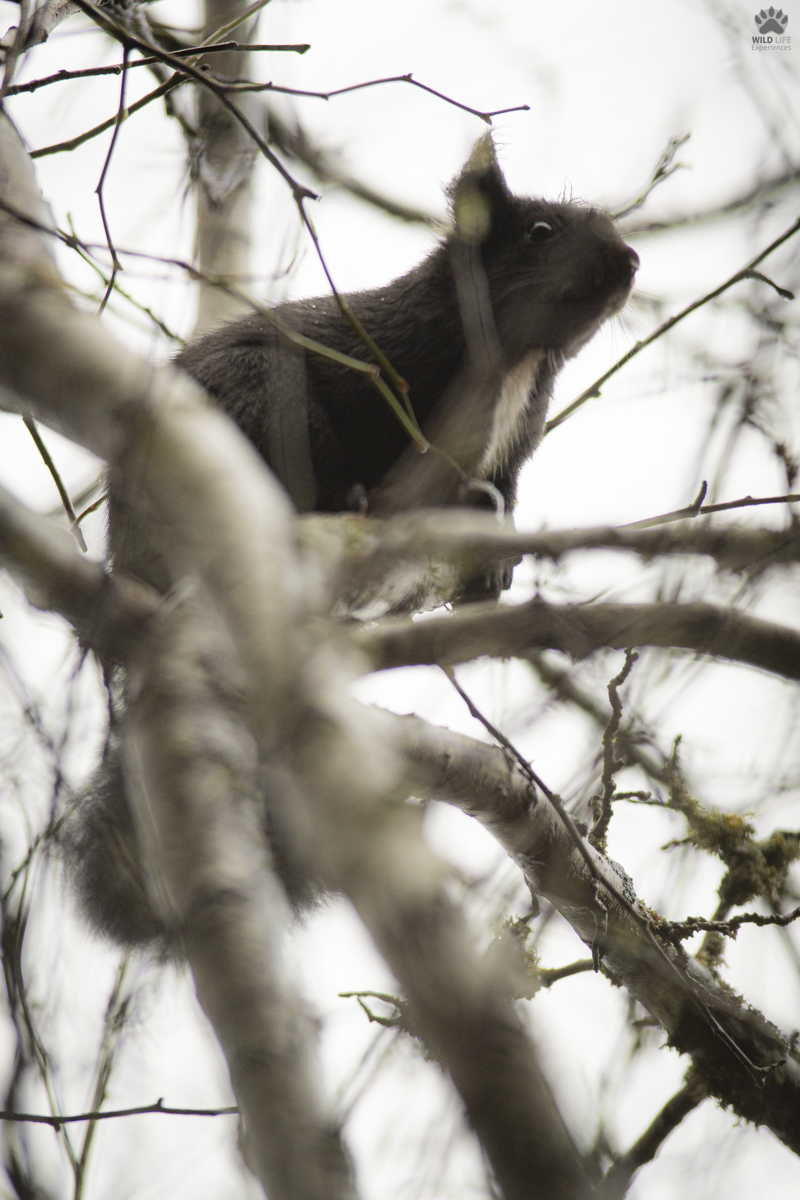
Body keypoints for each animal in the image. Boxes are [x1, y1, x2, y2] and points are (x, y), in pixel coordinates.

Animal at [61, 136, 638, 945]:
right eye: (540, 233)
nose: (629, 262)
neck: (519, 359)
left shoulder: (513, 447)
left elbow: (501, 495)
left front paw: (495, 557)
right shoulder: (396, 375)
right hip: (253, 394)